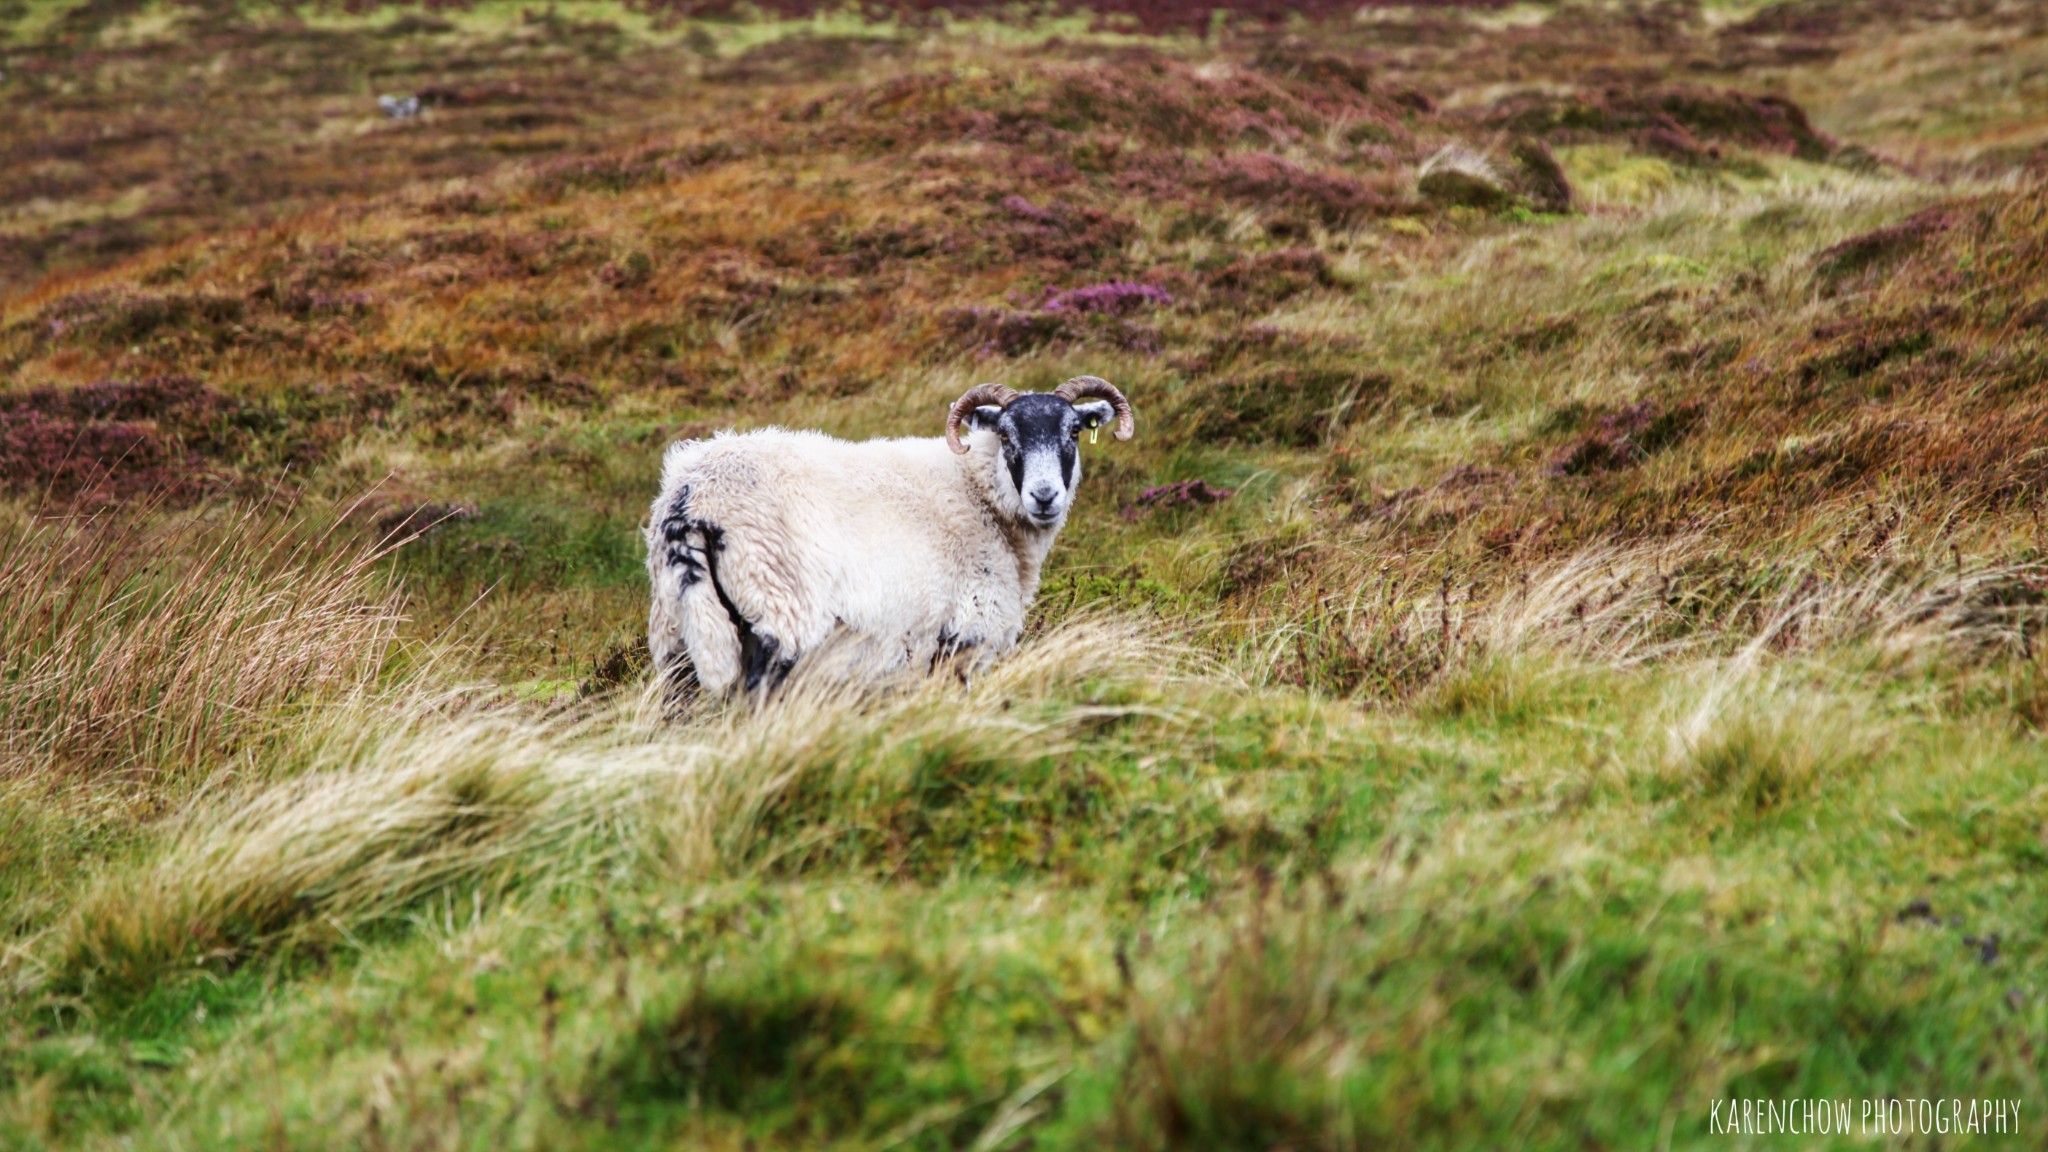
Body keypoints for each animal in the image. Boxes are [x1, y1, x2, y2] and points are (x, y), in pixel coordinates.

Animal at [643, 375, 1138, 688]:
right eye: (1007, 437)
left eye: (1073, 433)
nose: (1044, 496)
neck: (980, 495)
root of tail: (694, 497)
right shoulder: (966, 637)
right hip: (778, 612)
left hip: (678, 632)